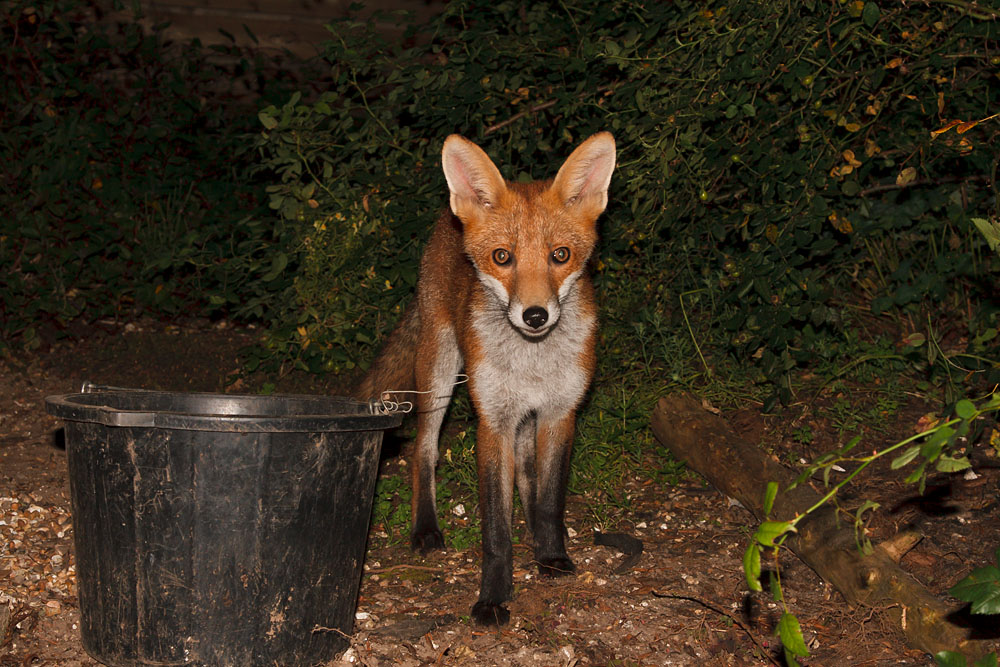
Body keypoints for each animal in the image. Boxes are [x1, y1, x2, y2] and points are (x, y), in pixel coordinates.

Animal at [355, 131, 616, 626]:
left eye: (560, 256)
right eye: (502, 257)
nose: (535, 315)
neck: (532, 362)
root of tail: (448, 217)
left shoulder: (559, 413)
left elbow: (550, 499)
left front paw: (552, 555)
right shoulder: (493, 421)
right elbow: (495, 530)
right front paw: (493, 598)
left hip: (523, 418)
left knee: (528, 476)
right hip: (439, 371)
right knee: (423, 450)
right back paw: (425, 528)